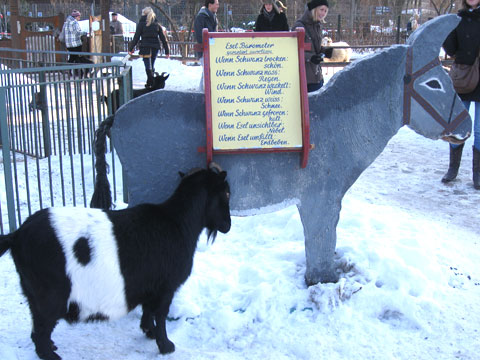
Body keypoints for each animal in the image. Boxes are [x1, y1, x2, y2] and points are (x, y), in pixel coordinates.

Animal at [0, 164, 231, 360]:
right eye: (227, 193)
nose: (227, 225)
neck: (178, 222)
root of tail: (17, 235)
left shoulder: (150, 286)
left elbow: (148, 310)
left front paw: (149, 332)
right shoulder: (166, 288)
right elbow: (160, 313)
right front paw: (166, 346)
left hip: (33, 294)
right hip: (49, 296)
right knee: (40, 330)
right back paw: (51, 354)